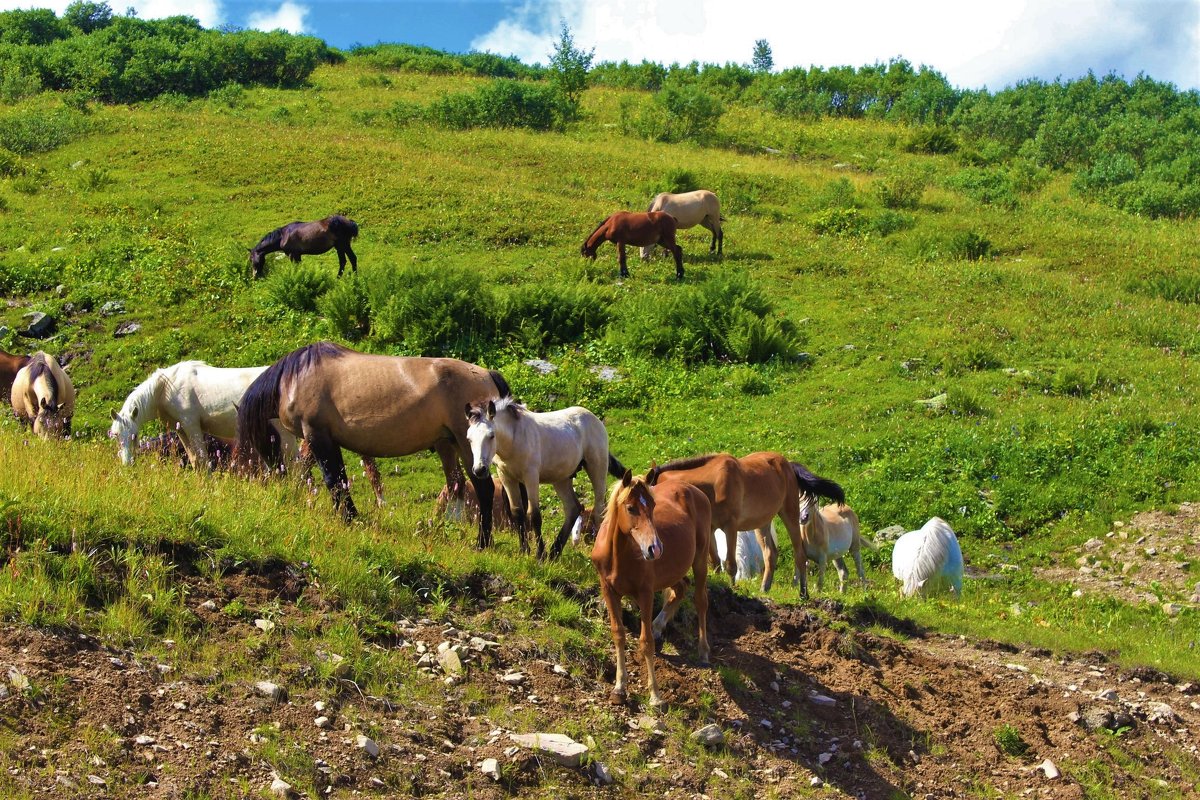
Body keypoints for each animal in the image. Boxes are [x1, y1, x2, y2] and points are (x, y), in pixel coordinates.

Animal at [237, 340, 511, 546]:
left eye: (268, 440)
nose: (276, 474)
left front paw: (348, 518)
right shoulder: (325, 439)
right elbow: (334, 478)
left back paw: (481, 543)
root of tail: (487, 374)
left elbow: (332, 479)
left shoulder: (317, 435)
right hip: (448, 444)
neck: (295, 377)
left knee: (482, 488)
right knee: (456, 484)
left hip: (467, 446)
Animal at [463, 398, 624, 561]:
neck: (514, 439)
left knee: (599, 510)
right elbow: (517, 513)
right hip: (562, 478)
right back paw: (554, 553)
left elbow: (534, 515)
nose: (479, 470)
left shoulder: (531, 476)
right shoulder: (506, 477)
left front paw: (540, 555)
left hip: (597, 468)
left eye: (491, 435)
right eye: (469, 439)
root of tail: (594, 419)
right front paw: (524, 551)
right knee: (573, 508)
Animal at [592, 470, 710, 705]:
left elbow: (645, 643)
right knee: (681, 588)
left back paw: (703, 651)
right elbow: (618, 634)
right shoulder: (609, 591)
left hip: (700, 560)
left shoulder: (645, 594)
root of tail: (695, 490)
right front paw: (619, 687)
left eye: (653, 505)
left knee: (701, 600)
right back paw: (658, 625)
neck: (618, 556)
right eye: (630, 508)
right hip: (673, 572)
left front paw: (655, 696)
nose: (655, 548)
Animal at [648, 450, 844, 594]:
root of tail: (788, 464)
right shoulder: (710, 528)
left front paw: (733, 588)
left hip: (790, 515)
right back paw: (765, 588)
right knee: (770, 554)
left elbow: (730, 564)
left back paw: (803, 593)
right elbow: (715, 562)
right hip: (762, 523)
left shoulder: (730, 528)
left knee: (800, 555)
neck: (713, 483)